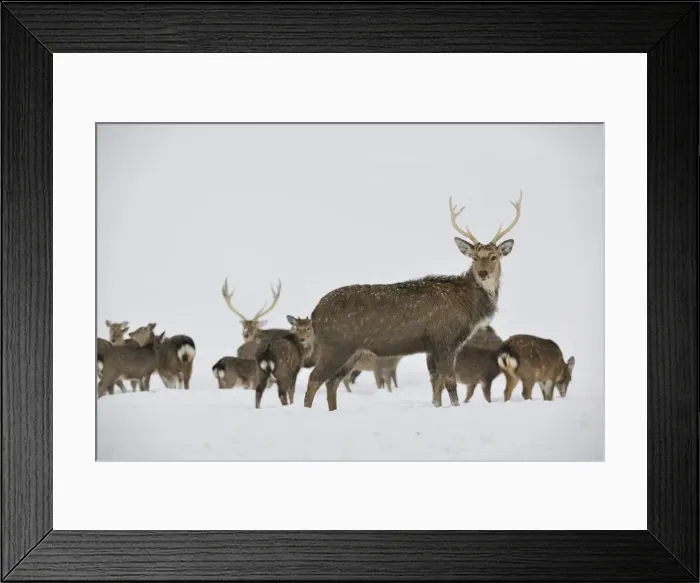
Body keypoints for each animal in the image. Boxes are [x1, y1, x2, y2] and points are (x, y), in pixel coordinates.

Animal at [304, 190, 523, 411]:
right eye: (475, 258)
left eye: (494, 257)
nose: (483, 273)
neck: (469, 307)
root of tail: (314, 313)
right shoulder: (445, 340)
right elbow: (450, 383)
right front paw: (454, 407)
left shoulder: (432, 347)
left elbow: (436, 384)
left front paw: (437, 406)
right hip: (336, 345)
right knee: (315, 378)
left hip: (353, 351)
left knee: (333, 381)